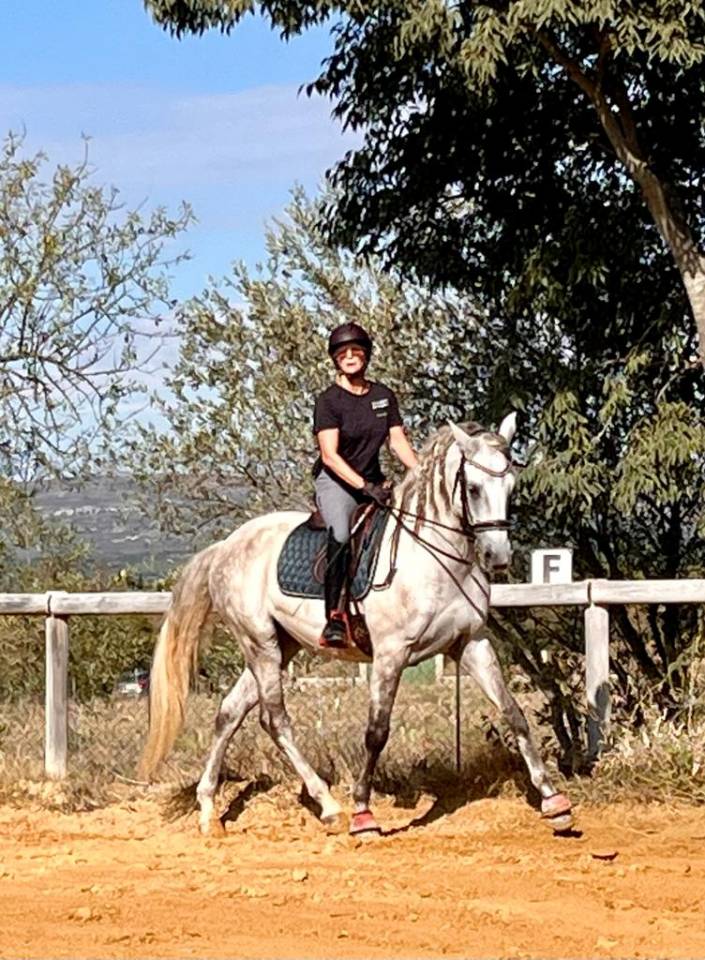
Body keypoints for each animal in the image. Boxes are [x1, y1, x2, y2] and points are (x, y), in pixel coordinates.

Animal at [139, 415, 572, 836]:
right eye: (474, 487)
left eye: (511, 486)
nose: (497, 557)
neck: (436, 558)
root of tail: (225, 547)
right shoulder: (390, 654)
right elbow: (376, 732)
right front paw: (363, 814)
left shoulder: (471, 643)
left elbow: (513, 713)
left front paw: (554, 802)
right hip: (259, 643)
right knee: (274, 718)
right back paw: (330, 807)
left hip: (280, 646)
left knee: (229, 712)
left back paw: (208, 811)